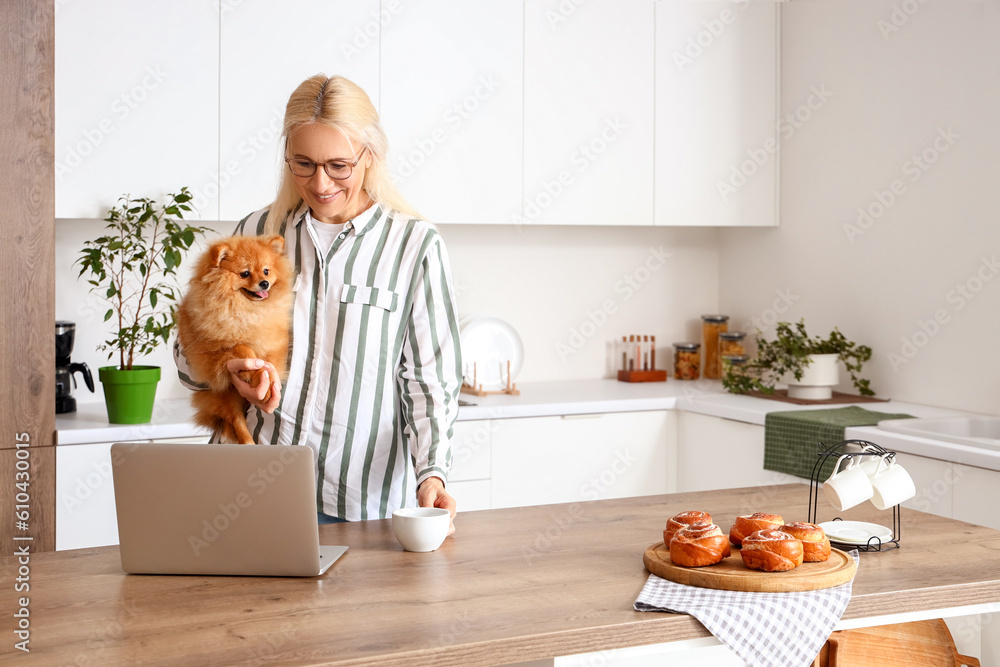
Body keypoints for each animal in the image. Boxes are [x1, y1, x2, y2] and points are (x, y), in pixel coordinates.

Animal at [178, 237, 292, 446]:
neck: (246, 309)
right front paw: (259, 378)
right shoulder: (215, 351)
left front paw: (269, 383)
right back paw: (247, 442)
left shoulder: (274, 343)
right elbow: (243, 349)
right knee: (235, 419)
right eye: (245, 273)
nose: (264, 283)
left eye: (266, 271)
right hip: (224, 397)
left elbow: (270, 364)